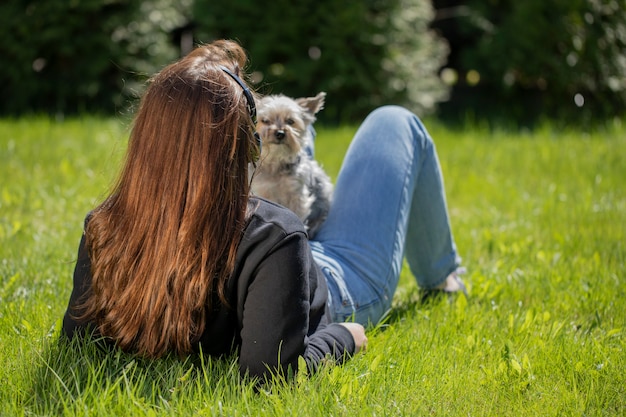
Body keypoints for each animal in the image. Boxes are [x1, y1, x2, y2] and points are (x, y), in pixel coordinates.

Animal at [251, 92, 332, 237]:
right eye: (265, 121)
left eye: (290, 121)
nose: (280, 133)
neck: (276, 163)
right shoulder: (265, 191)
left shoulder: (297, 195)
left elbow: (298, 214)